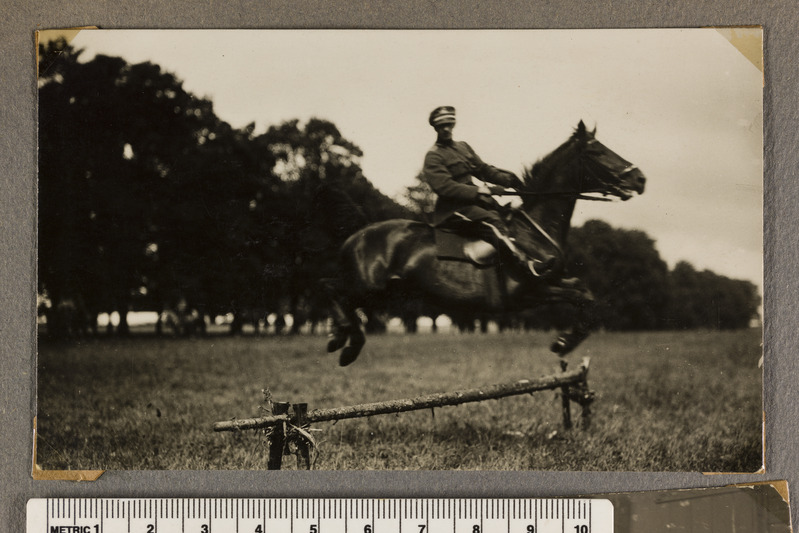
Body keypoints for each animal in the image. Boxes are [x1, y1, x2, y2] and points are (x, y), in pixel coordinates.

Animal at [322, 119, 648, 366]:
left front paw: (564, 341)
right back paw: (343, 341)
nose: (640, 179)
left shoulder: (553, 282)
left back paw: (342, 337)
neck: (533, 230)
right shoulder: (531, 291)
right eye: (597, 151)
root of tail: (356, 235)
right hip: (369, 286)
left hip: (385, 291)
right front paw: (563, 341)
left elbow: (586, 295)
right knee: (334, 291)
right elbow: (581, 296)